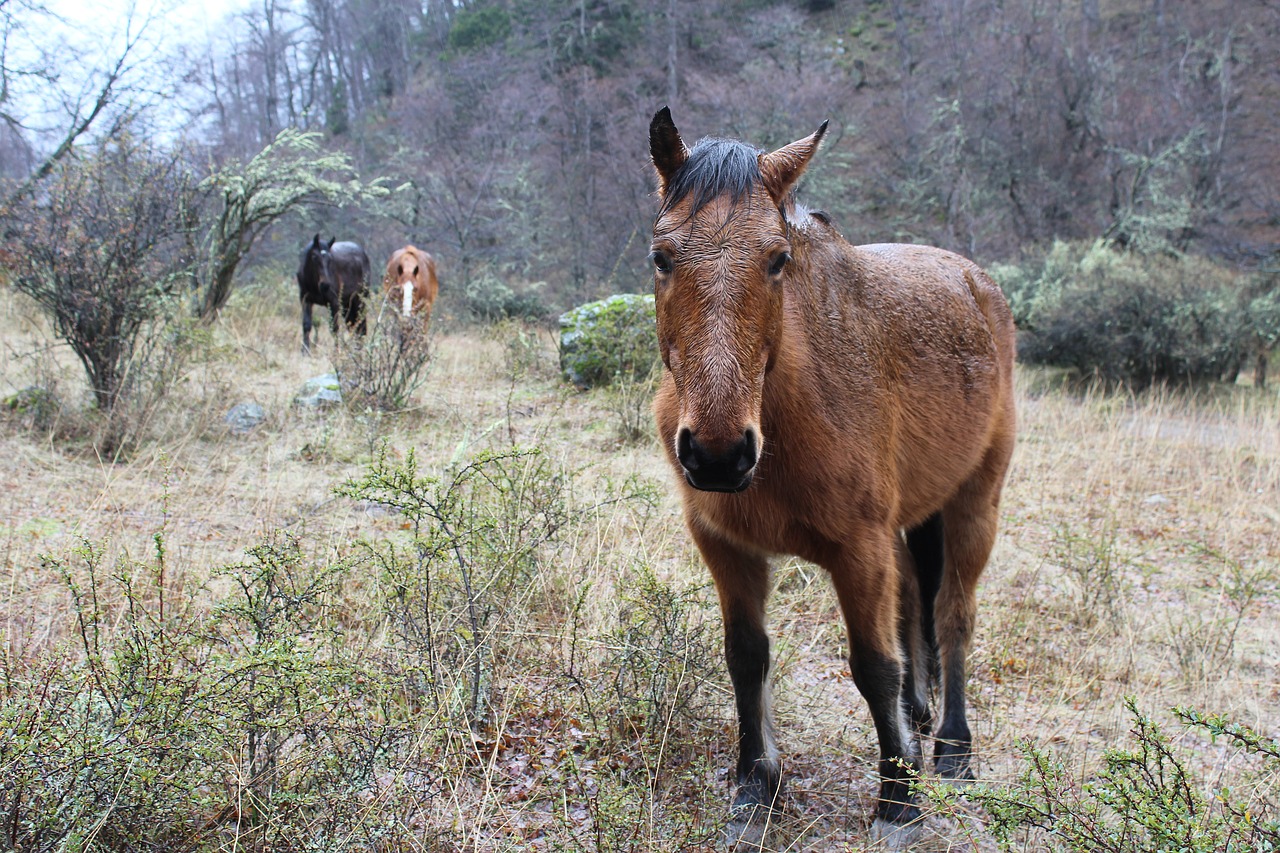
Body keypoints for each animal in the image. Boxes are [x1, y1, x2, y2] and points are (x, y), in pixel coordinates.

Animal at [650, 108, 1018, 845]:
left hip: (975, 505)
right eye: (661, 256)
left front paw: (898, 801)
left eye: (777, 259)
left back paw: (953, 749)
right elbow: (746, 655)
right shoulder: (725, 546)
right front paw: (756, 785)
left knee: (952, 613)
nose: (719, 454)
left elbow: (873, 666)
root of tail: (975, 282)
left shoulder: (858, 551)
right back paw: (920, 721)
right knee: (915, 599)